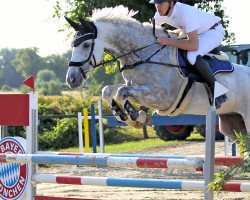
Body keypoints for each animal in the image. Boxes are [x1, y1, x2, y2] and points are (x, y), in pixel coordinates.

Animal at [65, 5, 250, 141]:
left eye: (86, 45)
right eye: (72, 45)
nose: (71, 79)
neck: (143, 54)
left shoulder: (161, 97)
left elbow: (121, 92)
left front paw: (137, 117)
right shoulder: (136, 86)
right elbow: (108, 90)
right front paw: (125, 116)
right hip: (232, 122)